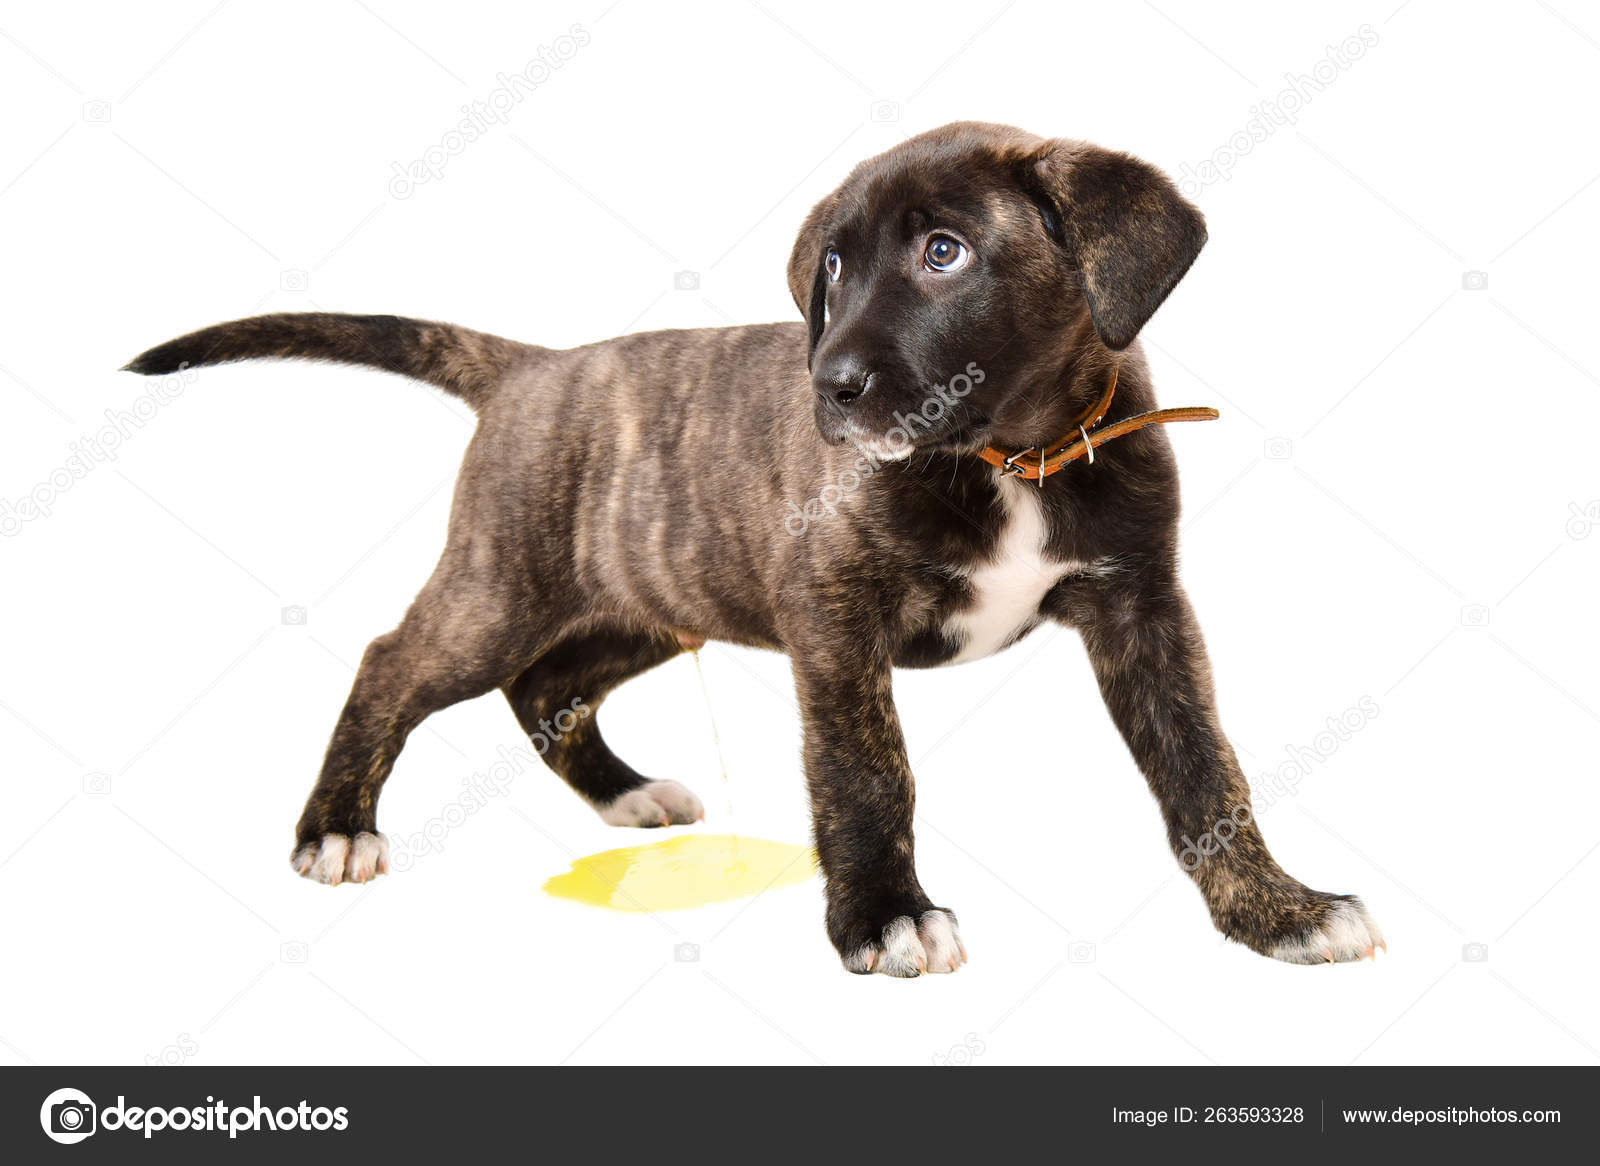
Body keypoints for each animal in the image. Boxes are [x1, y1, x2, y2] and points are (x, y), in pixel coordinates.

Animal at [125, 121, 1380, 975]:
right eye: (831, 266)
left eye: (945, 251)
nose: (830, 385)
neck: (1007, 454)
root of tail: (533, 367)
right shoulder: (832, 619)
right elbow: (867, 771)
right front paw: (882, 915)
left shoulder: (1141, 611)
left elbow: (1202, 769)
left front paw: (1275, 907)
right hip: (503, 587)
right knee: (395, 660)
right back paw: (336, 826)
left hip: (647, 598)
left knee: (546, 685)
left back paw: (622, 792)